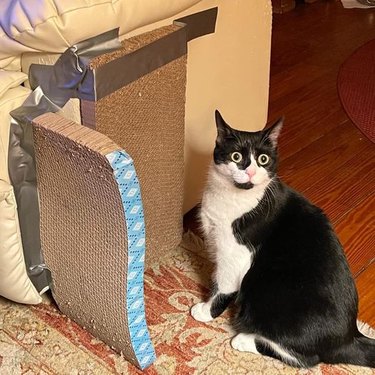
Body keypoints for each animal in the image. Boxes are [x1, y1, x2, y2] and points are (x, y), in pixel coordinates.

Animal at [192, 110, 374, 368]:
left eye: (263, 159)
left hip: (271, 297)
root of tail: (349, 338)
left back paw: (243, 339)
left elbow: (224, 286)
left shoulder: (235, 254)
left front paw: (205, 311)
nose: (250, 171)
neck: (233, 198)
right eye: (236, 156)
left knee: (306, 358)